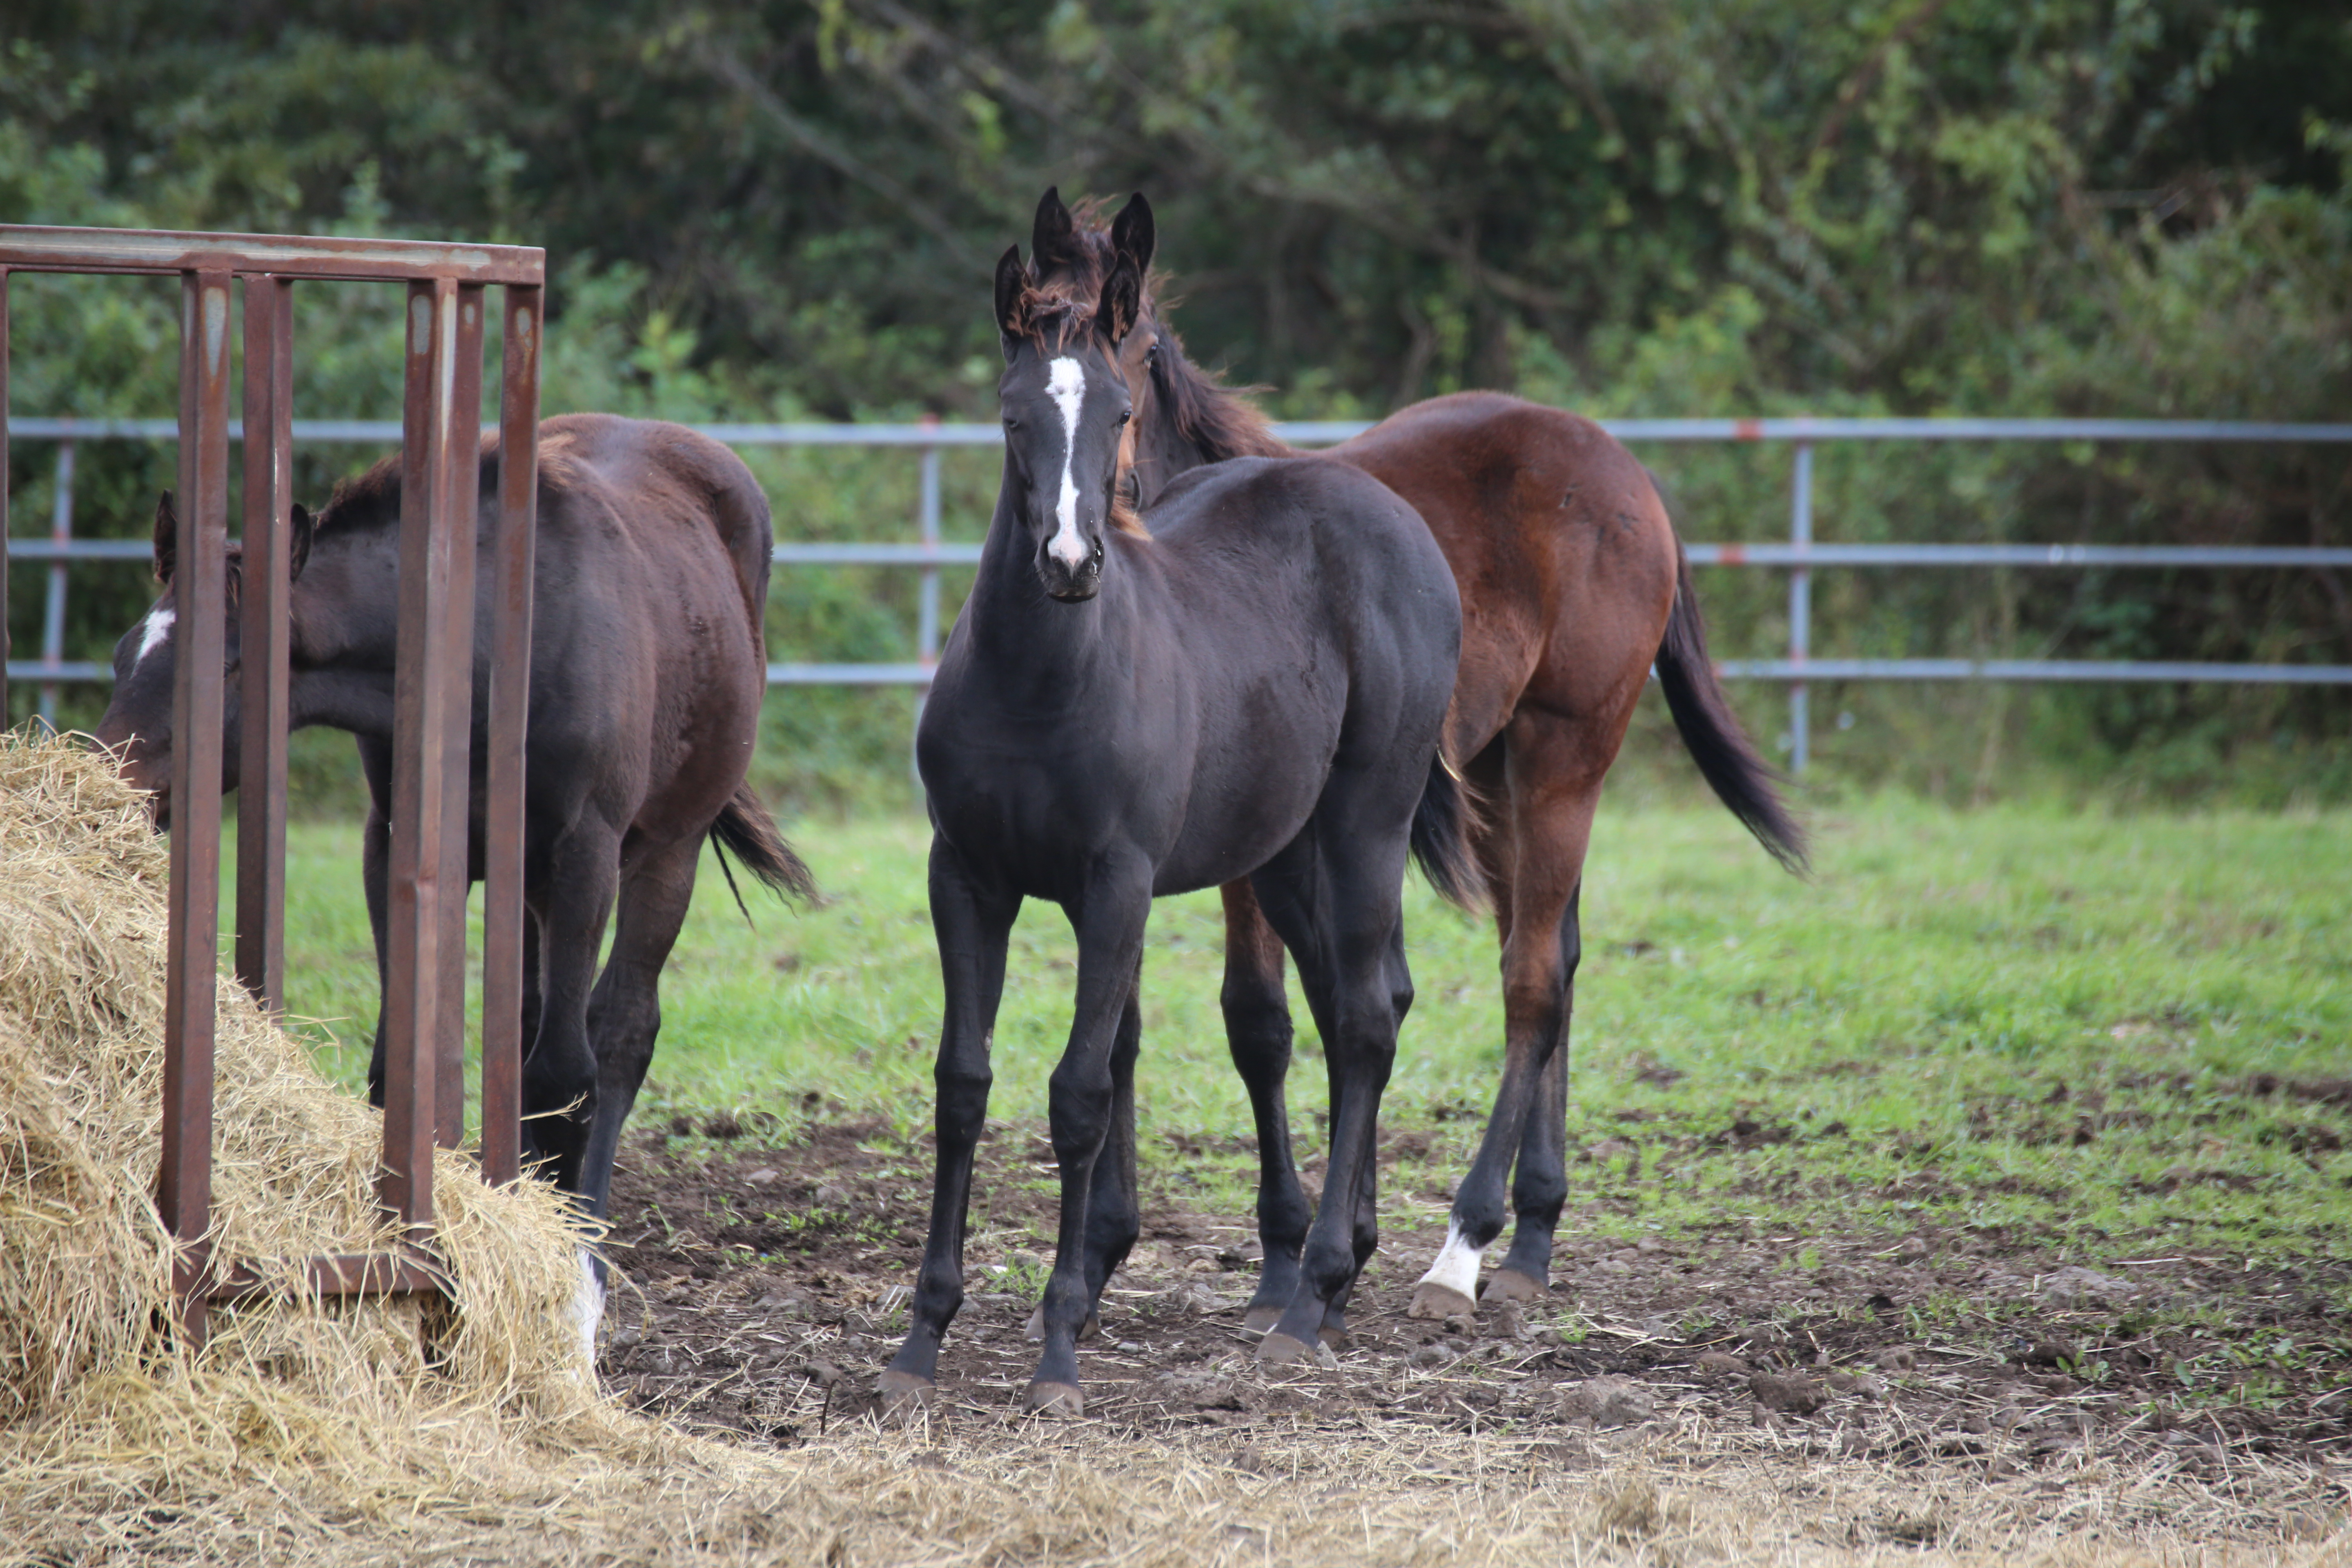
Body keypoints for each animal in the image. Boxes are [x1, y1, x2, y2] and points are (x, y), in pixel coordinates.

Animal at [94, 411, 809, 1307]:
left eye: (227, 666)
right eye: (124, 652)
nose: (108, 779)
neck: (489, 649)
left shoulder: (586, 853)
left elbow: (567, 1070)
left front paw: (570, 1277)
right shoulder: (398, 843)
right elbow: (402, 1068)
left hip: (665, 849)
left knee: (619, 1033)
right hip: (527, 883)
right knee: (530, 1022)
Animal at [884, 232, 1468, 1420]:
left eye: (1118, 409)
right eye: (1013, 415)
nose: (1069, 563)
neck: (1041, 683)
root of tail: (1395, 519)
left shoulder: (1115, 883)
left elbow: (1077, 1092)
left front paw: (1058, 1350)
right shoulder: (964, 876)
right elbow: (964, 1085)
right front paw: (922, 1338)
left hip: (1367, 822)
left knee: (1366, 1021)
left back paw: (1308, 1297)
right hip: (1285, 851)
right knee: (1355, 1003)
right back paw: (1335, 1280)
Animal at [1020, 193, 1806, 1326]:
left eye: (1145, 344)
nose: (1093, 507)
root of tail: (1625, 471)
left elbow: (1265, 1019)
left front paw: (1291, 1255)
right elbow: (1241, 1012)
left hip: (1565, 758)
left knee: (1530, 979)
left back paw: (1466, 1244)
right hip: (1500, 776)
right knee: (1557, 956)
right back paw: (1533, 1231)